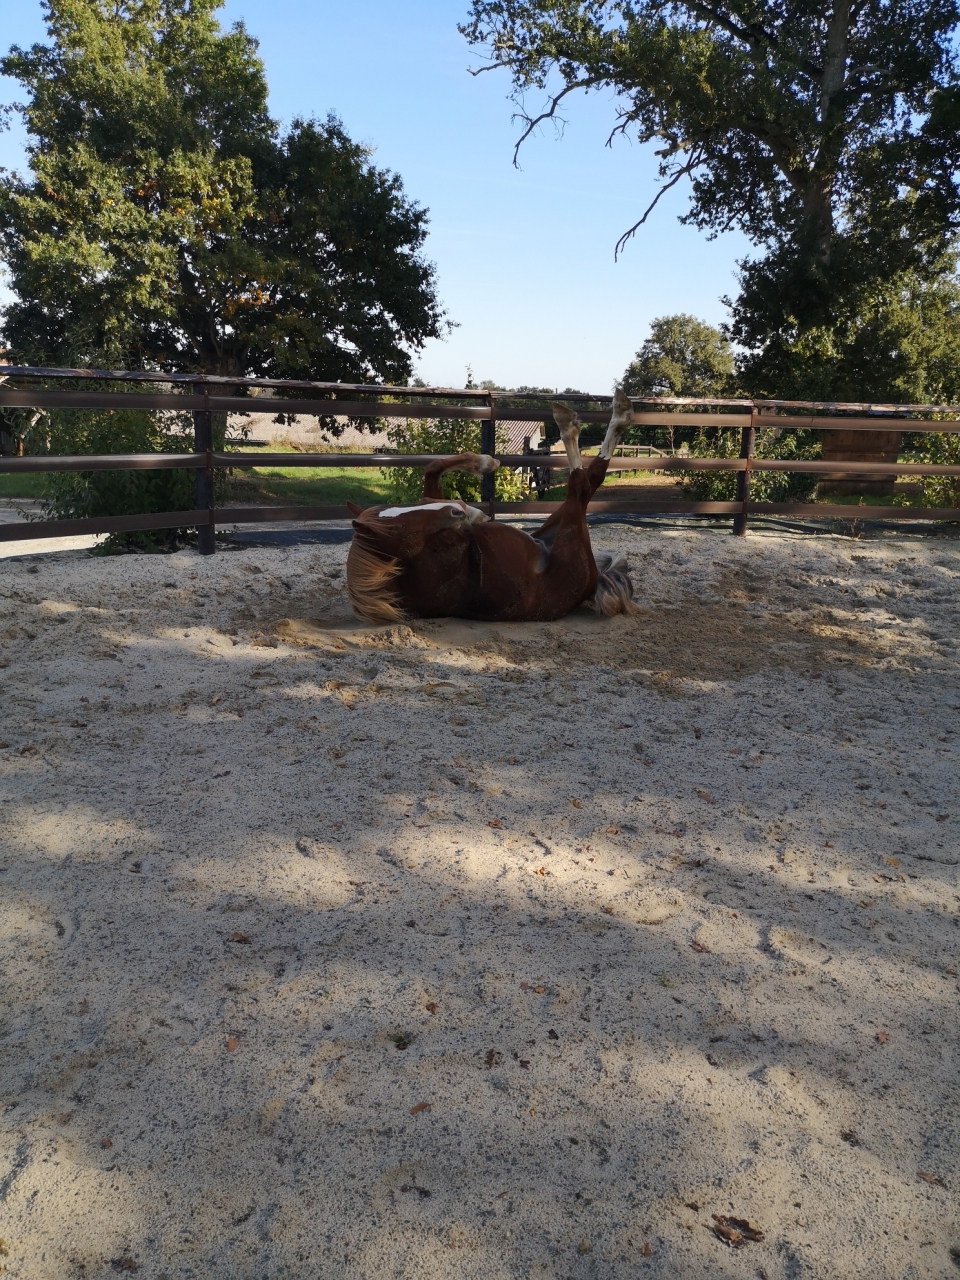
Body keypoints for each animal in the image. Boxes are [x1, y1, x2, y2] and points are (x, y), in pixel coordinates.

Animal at [345, 389, 638, 623]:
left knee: (590, 479)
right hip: (572, 533)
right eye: (401, 530)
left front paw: (483, 467)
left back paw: (619, 410)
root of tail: (591, 584)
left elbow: (432, 469)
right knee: (582, 483)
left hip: (557, 520)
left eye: (401, 513)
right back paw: (582, 420)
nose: (457, 511)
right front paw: (471, 510)